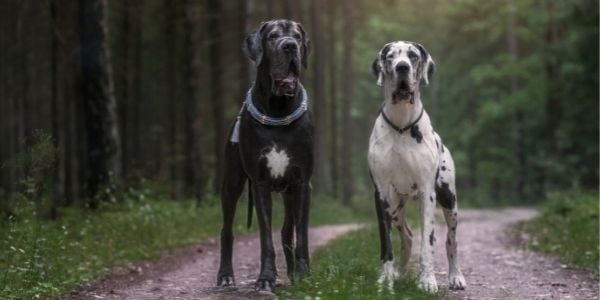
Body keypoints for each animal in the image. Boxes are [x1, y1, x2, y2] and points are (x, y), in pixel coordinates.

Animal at [217, 19, 314, 292]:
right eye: (272, 37)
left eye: (297, 36)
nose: (290, 46)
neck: (278, 109)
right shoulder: (260, 184)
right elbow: (265, 238)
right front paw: (266, 279)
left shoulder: (302, 183)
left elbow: (301, 234)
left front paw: (303, 274)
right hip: (231, 184)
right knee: (226, 231)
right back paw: (225, 276)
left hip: (290, 192)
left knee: (287, 231)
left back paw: (292, 273)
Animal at [366, 41, 468, 292]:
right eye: (390, 57)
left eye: (413, 56)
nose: (402, 67)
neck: (402, 125)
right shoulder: (380, 194)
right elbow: (387, 244)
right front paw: (386, 279)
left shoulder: (427, 194)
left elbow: (428, 244)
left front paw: (427, 281)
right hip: (395, 207)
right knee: (407, 236)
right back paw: (398, 274)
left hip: (449, 200)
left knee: (451, 240)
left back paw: (455, 276)